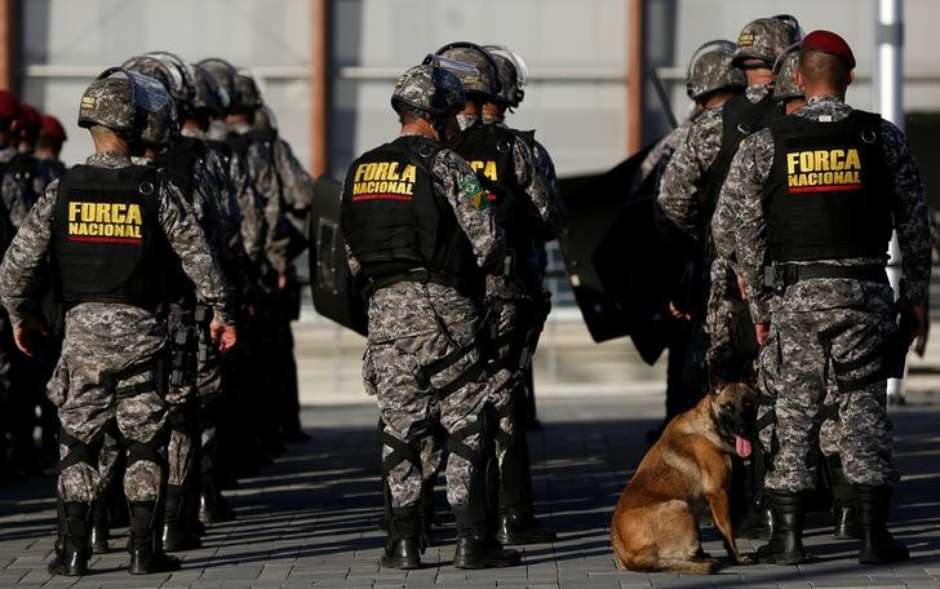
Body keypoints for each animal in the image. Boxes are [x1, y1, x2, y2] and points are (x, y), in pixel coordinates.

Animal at [610, 381, 756, 574]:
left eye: (748, 404)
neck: (709, 424)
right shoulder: (719, 493)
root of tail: (628, 555)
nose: (743, 430)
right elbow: (727, 531)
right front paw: (737, 558)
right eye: (727, 407)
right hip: (680, 506)